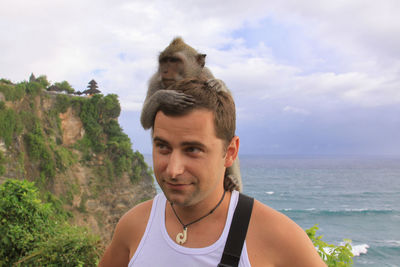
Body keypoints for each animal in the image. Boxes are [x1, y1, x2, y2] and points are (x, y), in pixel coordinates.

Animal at [139, 37, 242, 193]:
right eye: (164, 61)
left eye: (174, 60)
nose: (164, 71)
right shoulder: (155, 80)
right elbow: (145, 119)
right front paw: (166, 96)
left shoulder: (207, 73)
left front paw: (219, 84)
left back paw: (233, 181)